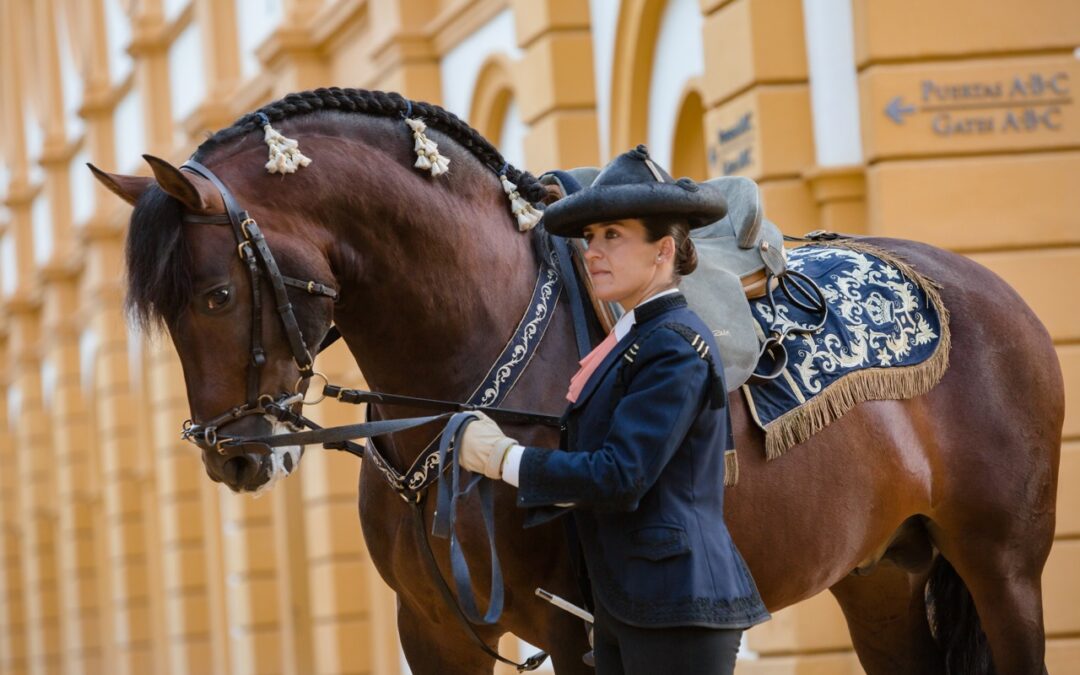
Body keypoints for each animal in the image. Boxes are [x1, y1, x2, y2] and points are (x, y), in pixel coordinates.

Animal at [90, 89, 1062, 673]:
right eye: (165, 314)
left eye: (216, 294)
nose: (233, 456)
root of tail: (991, 290)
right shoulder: (434, 631)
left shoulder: (577, 629)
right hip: (881, 573)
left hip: (1002, 568)